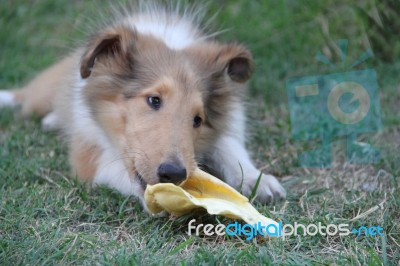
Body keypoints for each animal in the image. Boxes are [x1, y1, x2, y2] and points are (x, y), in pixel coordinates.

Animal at [0, 3, 288, 210]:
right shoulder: (88, 156)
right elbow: (117, 170)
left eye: (197, 119)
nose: (174, 173)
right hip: (43, 92)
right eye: (153, 100)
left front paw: (258, 180)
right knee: (24, 95)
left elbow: (230, 146)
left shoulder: (229, 121)